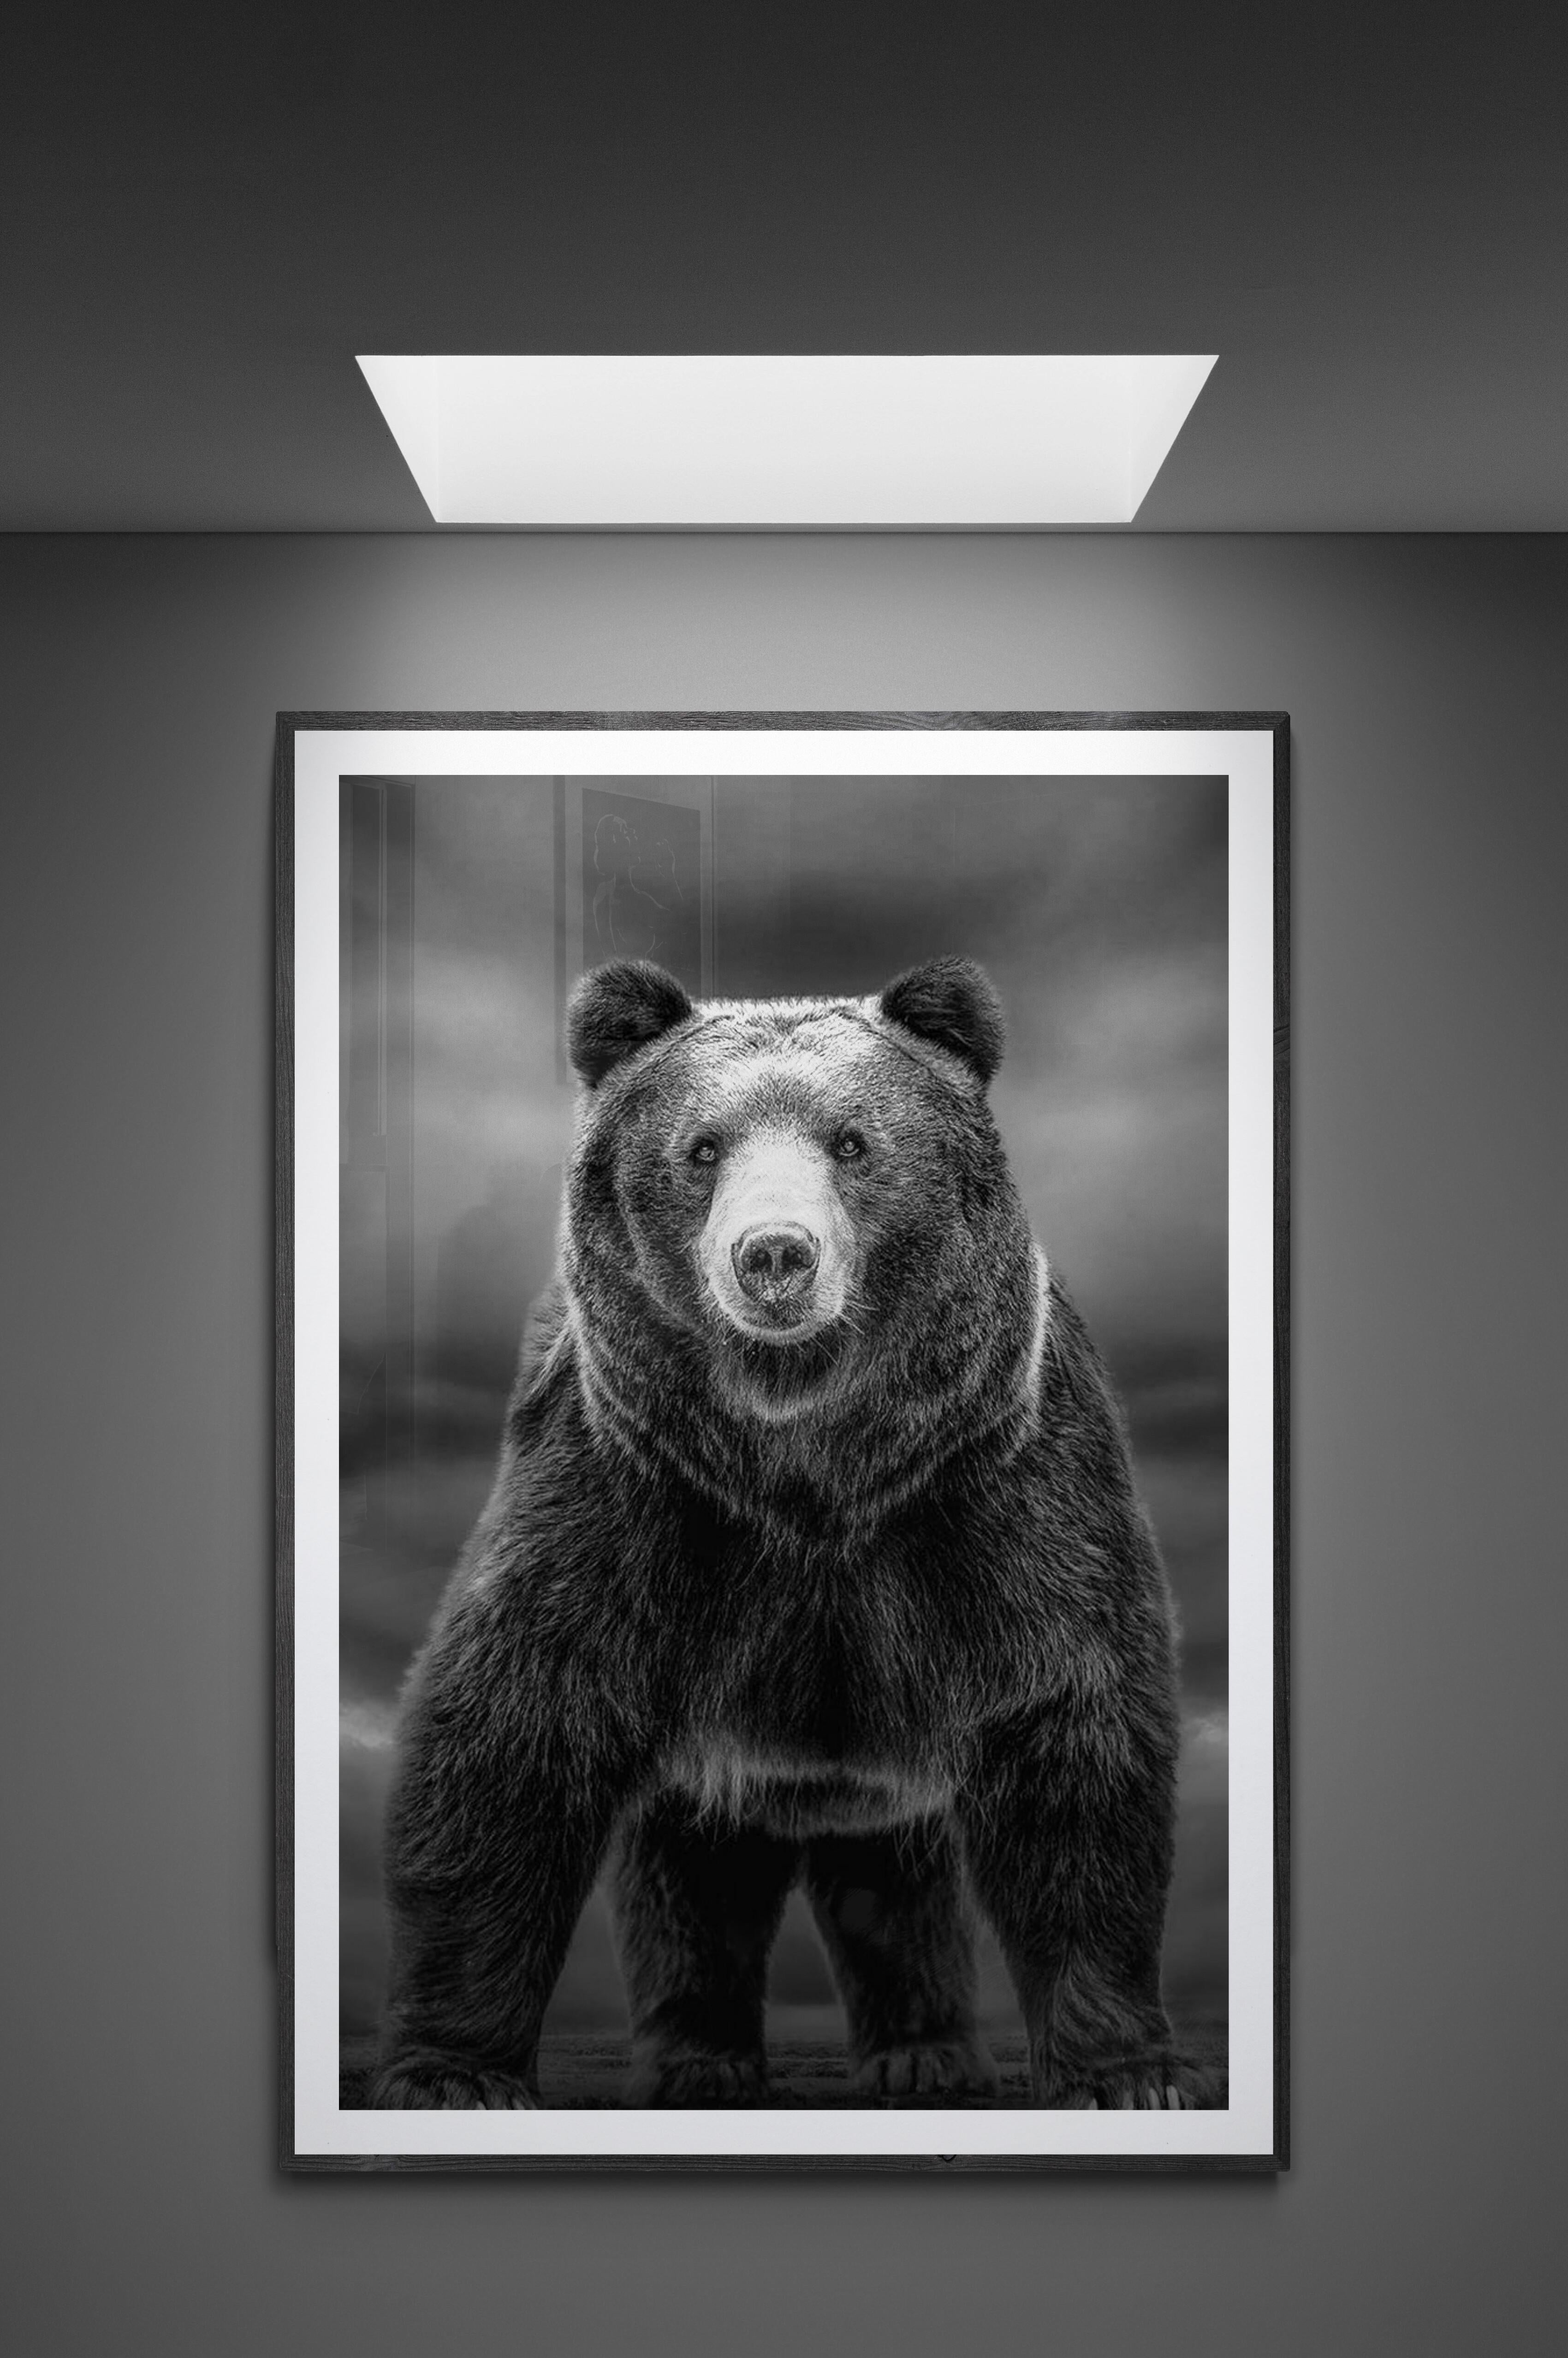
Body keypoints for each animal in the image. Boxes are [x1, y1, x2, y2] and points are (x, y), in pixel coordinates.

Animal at [373, 954, 1208, 2111]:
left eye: (852, 1143)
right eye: (701, 1147)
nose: (774, 1253)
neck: (807, 1463)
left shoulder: (993, 1492)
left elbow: (1071, 1736)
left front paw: (1127, 2076)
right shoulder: (631, 1495)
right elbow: (513, 1729)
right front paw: (454, 2076)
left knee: (890, 1867)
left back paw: (924, 2054)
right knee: (691, 1875)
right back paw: (701, 2062)